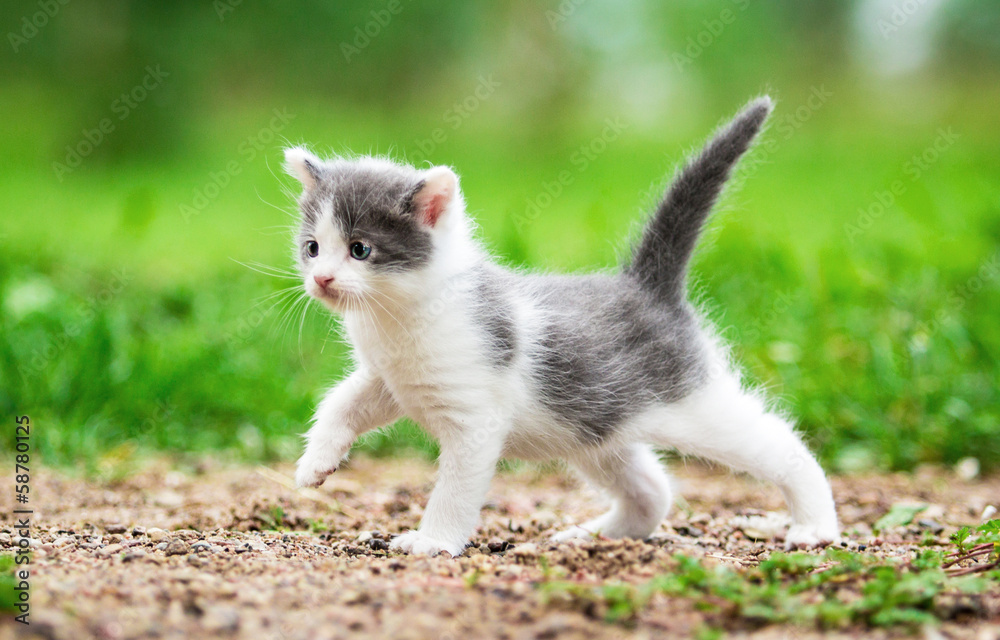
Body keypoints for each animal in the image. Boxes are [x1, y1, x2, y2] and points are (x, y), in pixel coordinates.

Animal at [286, 96, 840, 556]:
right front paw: (318, 460)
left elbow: (455, 489)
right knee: (652, 489)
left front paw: (433, 540)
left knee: (785, 446)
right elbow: (343, 401)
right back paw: (595, 536)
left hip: (693, 405)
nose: (322, 278)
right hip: (593, 424)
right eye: (312, 247)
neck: (397, 318)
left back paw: (815, 526)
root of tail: (645, 287)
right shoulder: (390, 379)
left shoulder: (475, 421)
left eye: (361, 249)